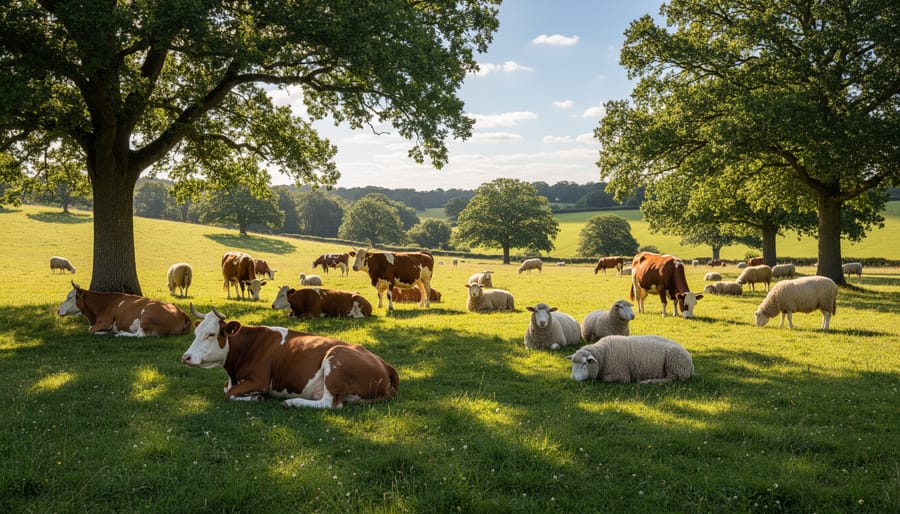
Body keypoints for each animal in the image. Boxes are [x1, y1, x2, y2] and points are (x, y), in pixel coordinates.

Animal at [57, 281, 190, 336]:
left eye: (69, 297)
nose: (58, 310)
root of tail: (182, 313)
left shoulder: (105, 322)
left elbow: (90, 330)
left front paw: (106, 332)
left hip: (147, 313)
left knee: (140, 335)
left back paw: (121, 334)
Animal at [182, 306, 398, 408]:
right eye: (196, 332)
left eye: (211, 334)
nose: (186, 357)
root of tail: (384, 363)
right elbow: (227, 389)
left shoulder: (259, 380)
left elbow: (229, 393)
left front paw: (255, 397)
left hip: (335, 357)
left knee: (331, 403)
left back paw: (292, 402)